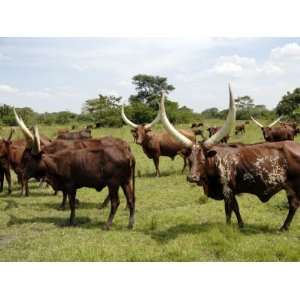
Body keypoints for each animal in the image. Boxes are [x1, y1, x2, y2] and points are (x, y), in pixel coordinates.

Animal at [161, 85, 300, 231]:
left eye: (203, 160)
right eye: (189, 160)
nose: (192, 178)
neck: (215, 163)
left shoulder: (228, 191)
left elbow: (230, 210)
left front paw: (231, 226)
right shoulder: (230, 192)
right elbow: (233, 209)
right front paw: (239, 224)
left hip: (294, 186)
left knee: (294, 204)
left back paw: (284, 227)